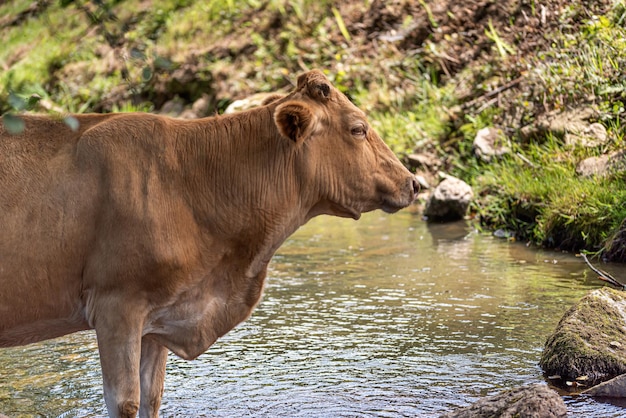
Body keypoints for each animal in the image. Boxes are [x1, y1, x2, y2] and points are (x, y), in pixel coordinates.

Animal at [1, 70, 420, 416]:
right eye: (358, 129)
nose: (414, 182)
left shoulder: (156, 316)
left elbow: (152, 398)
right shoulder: (115, 305)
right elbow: (126, 402)